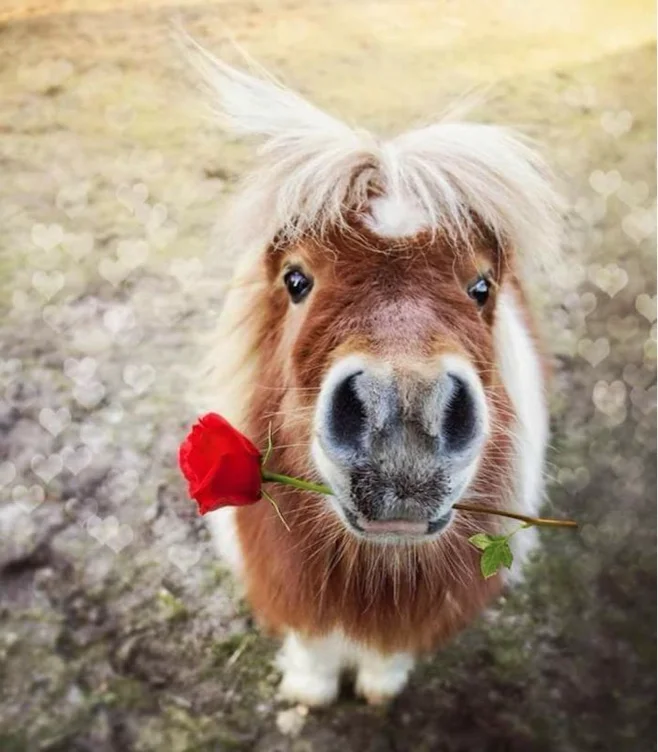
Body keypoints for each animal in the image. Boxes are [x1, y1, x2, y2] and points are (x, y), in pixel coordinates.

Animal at [188, 42, 562, 706]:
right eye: (296, 280)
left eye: (481, 287)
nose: (406, 416)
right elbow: (312, 644)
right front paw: (310, 689)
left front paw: (379, 686)